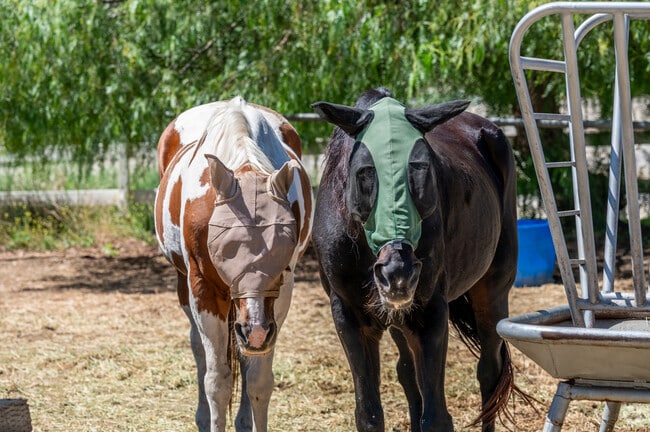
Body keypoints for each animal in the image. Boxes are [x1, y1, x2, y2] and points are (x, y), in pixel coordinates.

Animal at [154, 97, 313, 432]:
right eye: (225, 250)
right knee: (199, 349)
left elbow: (259, 381)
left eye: (282, 253)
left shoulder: (279, 297)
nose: (256, 332)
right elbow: (217, 381)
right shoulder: (204, 289)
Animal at [311, 87, 519, 432]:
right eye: (364, 172)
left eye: (423, 168)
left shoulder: (429, 315)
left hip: (493, 289)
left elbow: (437, 417)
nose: (398, 273)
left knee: (490, 371)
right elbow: (369, 414)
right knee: (408, 373)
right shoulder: (349, 318)